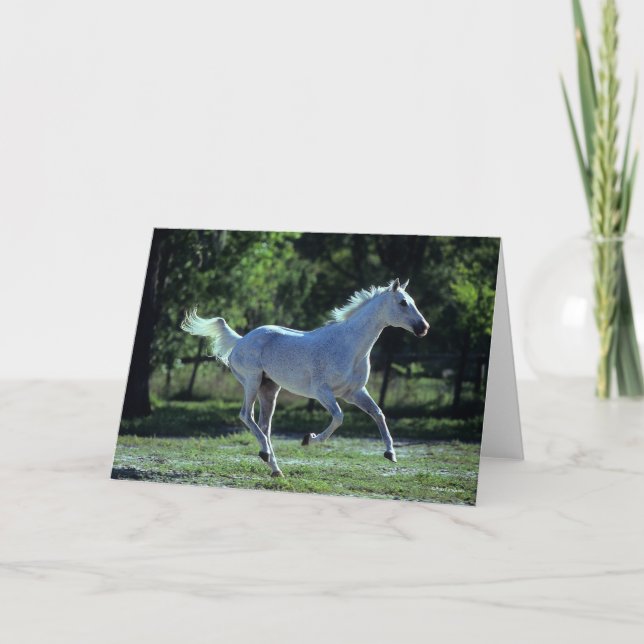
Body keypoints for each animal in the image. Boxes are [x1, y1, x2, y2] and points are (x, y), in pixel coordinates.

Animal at [181, 278, 429, 477]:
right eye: (403, 302)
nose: (424, 328)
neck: (349, 346)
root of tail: (241, 340)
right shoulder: (322, 392)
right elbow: (339, 417)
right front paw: (308, 439)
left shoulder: (354, 393)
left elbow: (378, 414)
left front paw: (390, 453)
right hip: (252, 382)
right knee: (246, 415)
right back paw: (265, 454)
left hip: (269, 390)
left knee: (264, 426)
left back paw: (275, 468)